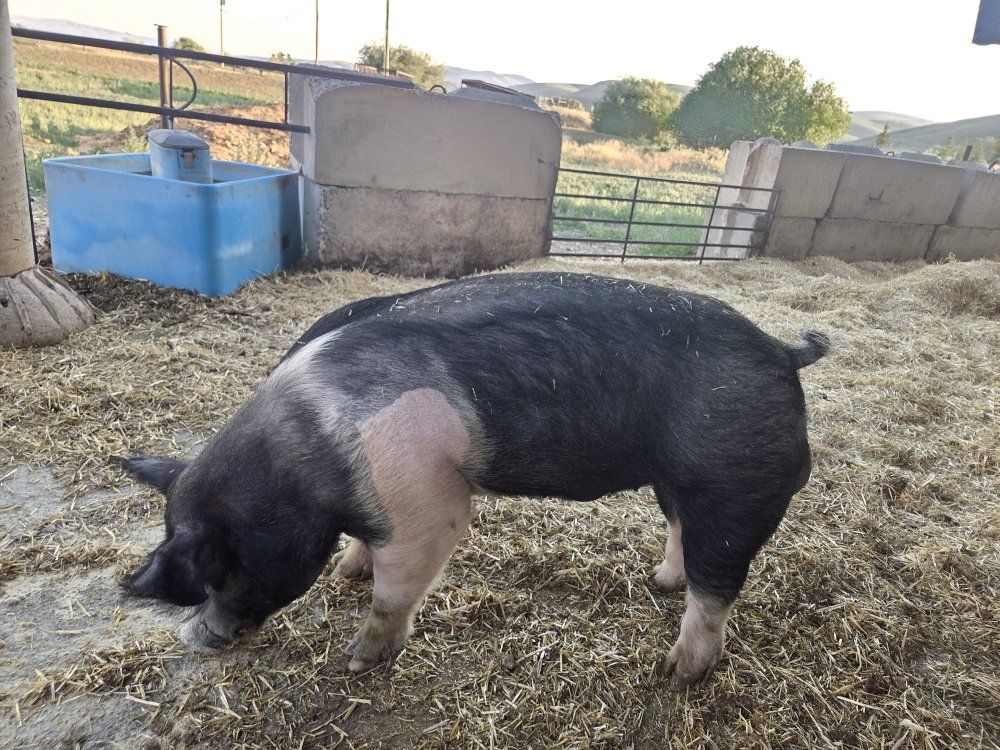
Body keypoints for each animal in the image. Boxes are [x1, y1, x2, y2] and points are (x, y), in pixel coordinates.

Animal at [122, 271, 829, 689]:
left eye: (222, 567)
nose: (194, 638)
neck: (303, 456)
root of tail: (781, 350)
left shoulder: (425, 501)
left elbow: (395, 590)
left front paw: (357, 658)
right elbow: (364, 555)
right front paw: (347, 571)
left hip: (736, 486)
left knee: (718, 584)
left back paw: (676, 672)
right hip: (679, 481)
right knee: (680, 530)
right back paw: (660, 583)